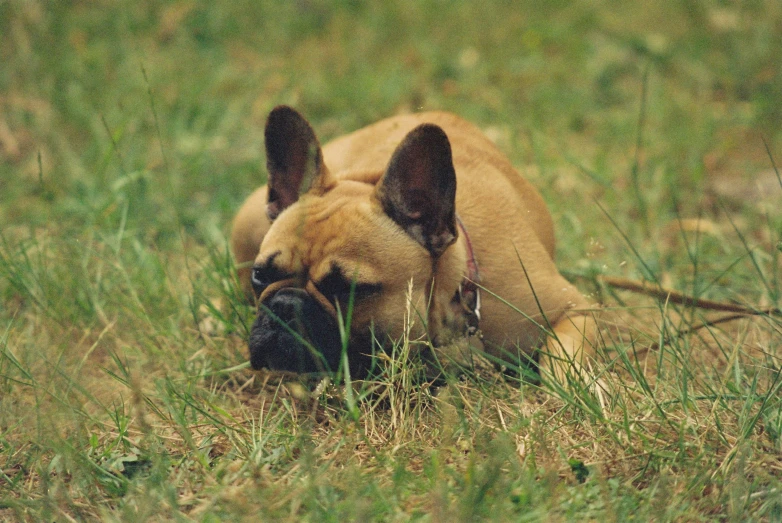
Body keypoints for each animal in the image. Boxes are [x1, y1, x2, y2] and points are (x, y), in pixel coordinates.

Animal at [230, 106, 596, 382]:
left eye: (348, 289)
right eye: (261, 275)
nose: (283, 305)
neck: (456, 293)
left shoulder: (576, 309)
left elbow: (564, 356)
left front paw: (578, 389)